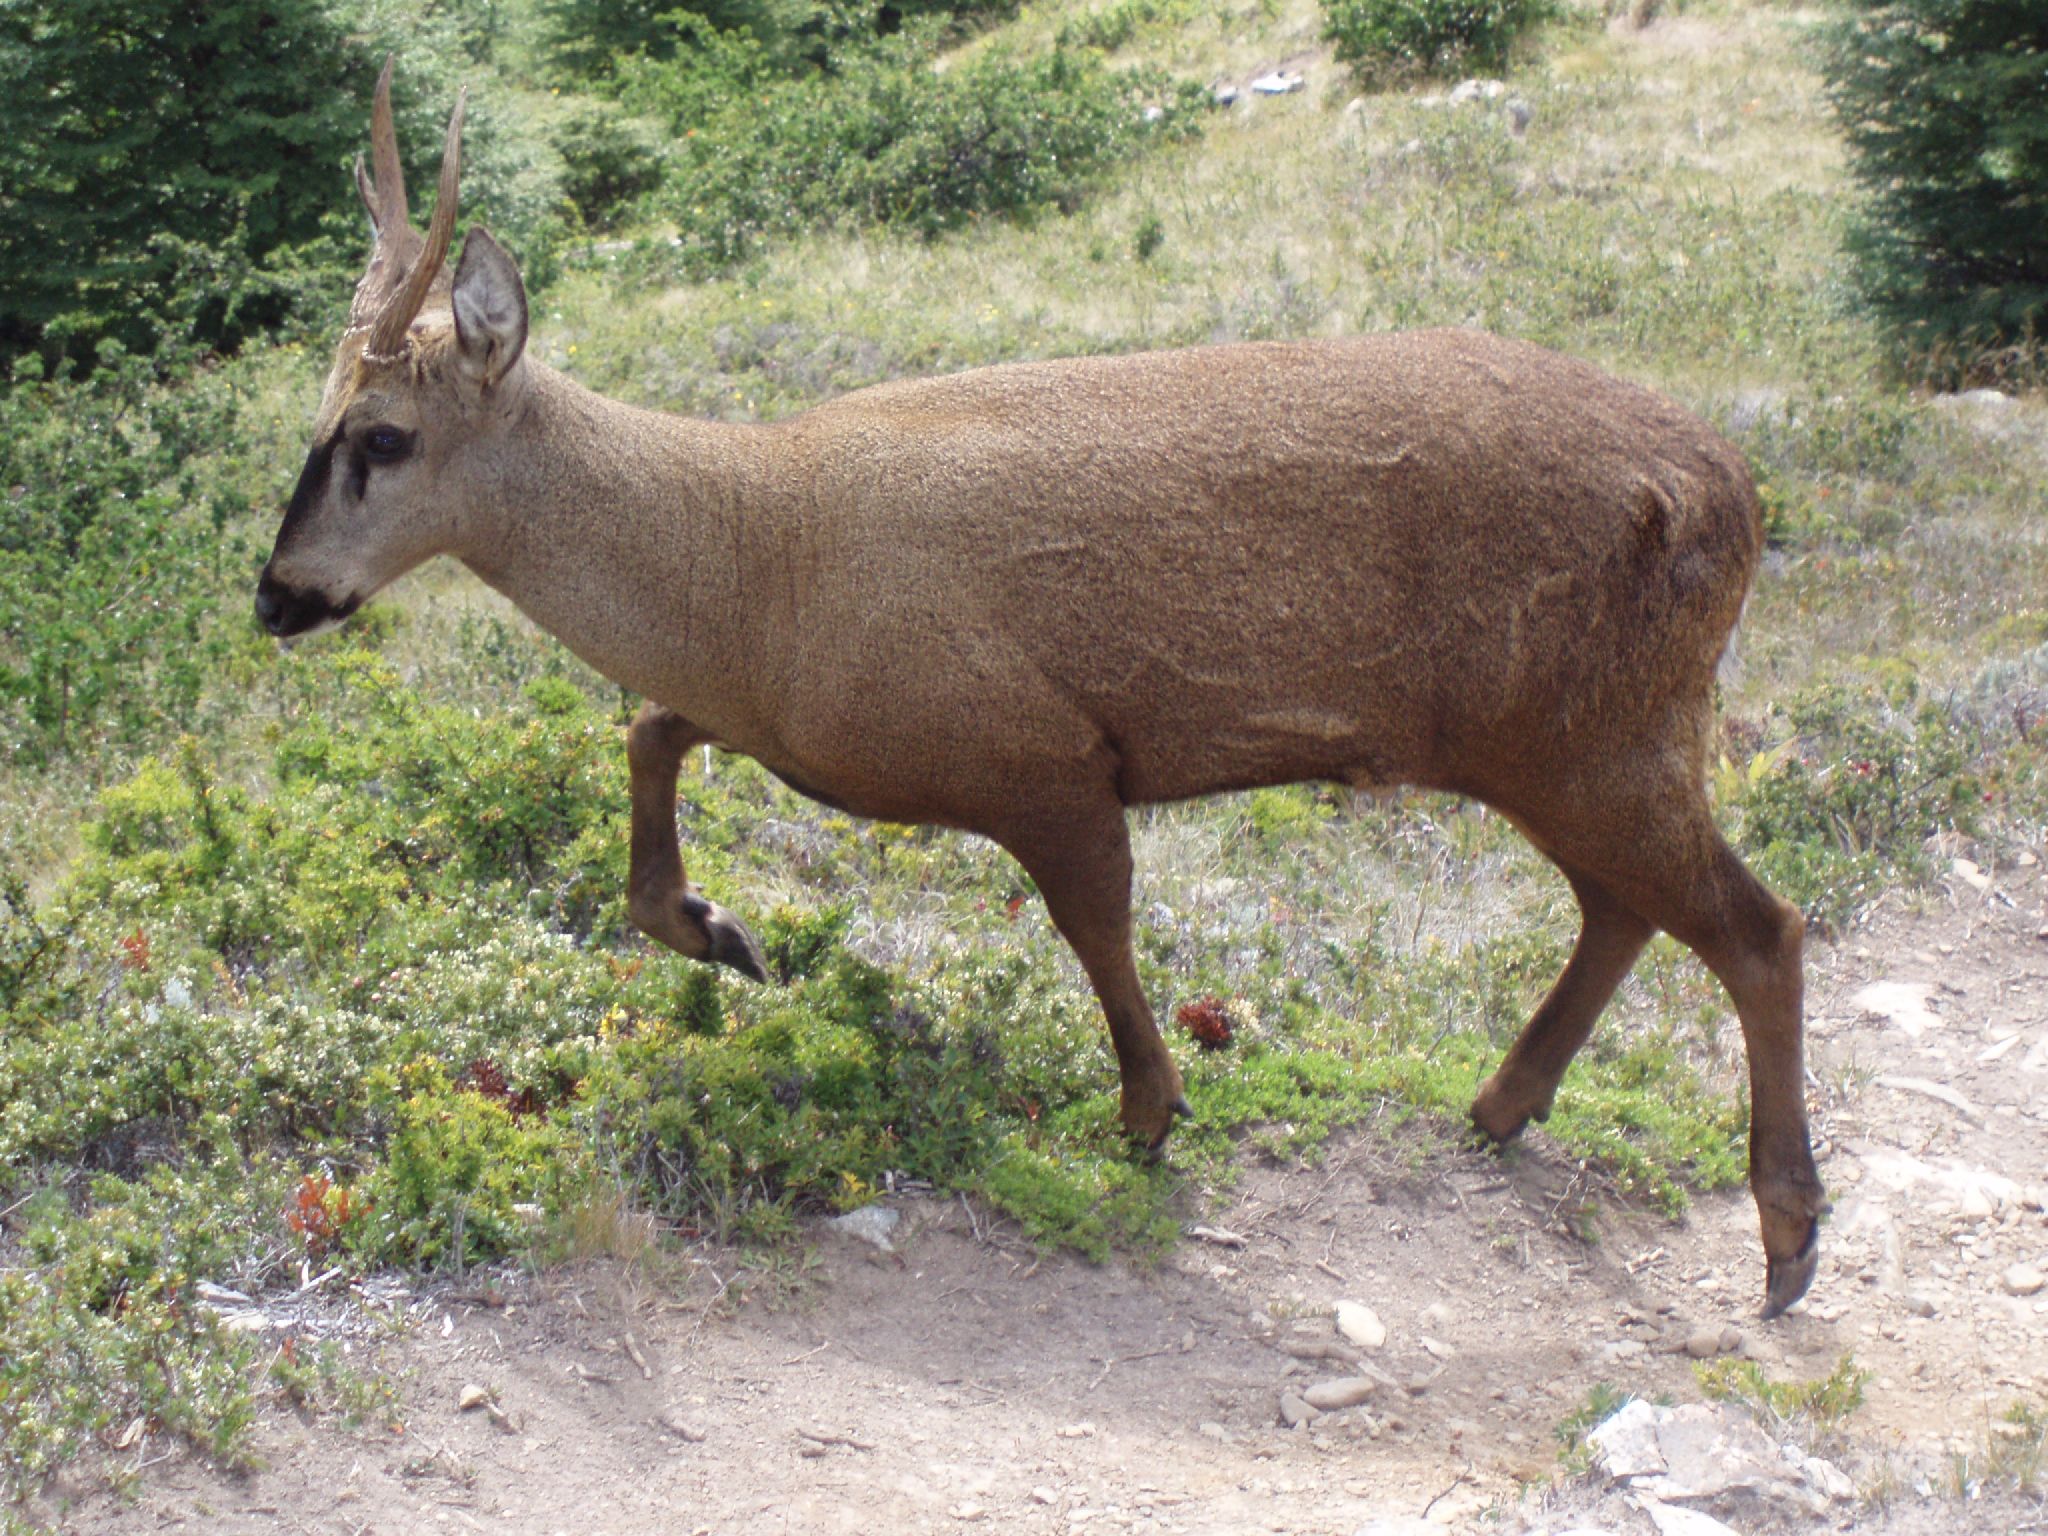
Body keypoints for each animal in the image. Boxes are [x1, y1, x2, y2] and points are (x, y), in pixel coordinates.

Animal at [251, 72, 1826, 1318]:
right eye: (314, 416)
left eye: (381, 437)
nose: (276, 596)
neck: (759, 561)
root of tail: (1734, 490)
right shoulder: (801, 716)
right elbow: (646, 725)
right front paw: (718, 929)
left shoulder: (1041, 751)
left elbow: (1095, 925)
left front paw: (1146, 1109)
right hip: (1581, 732)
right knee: (1630, 908)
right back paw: (1504, 1106)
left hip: (1589, 725)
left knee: (1757, 927)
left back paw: (1786, 1238)